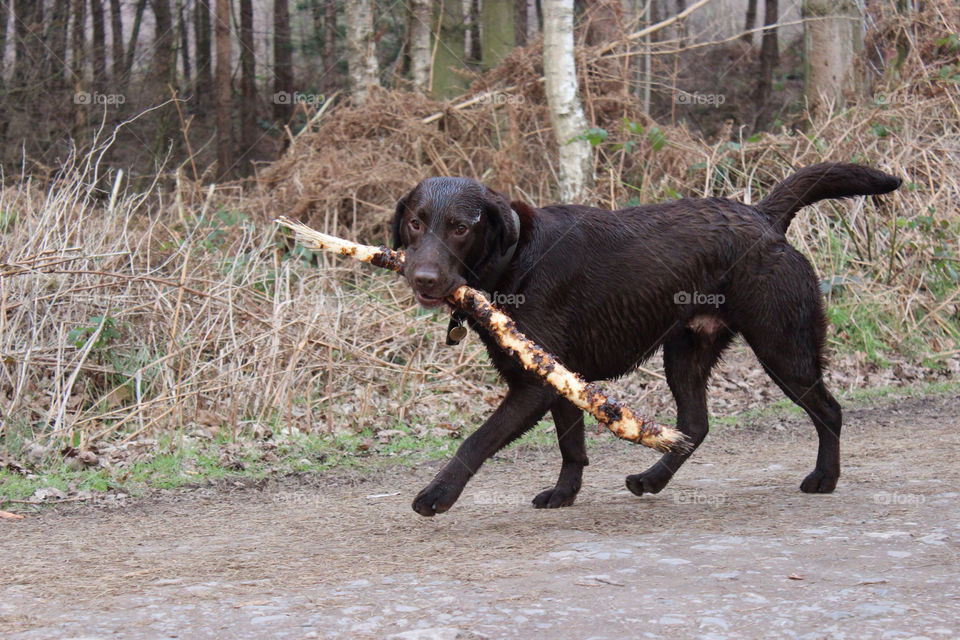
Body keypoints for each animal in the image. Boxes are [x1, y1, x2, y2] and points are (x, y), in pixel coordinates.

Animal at [390, 162, 900, 516]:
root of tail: (764, 216)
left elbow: (474, 442)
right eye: (415, 223)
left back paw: (825, 478)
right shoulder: (559, 382)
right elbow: (571, 446)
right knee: (694, 425)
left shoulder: (533, 387)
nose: (423, 278)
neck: (515, 256)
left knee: (828, 411)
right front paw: (564, 494)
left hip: (782, 346)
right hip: (687, 351)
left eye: (461, 227)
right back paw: (652, 481)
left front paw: (437, 494)